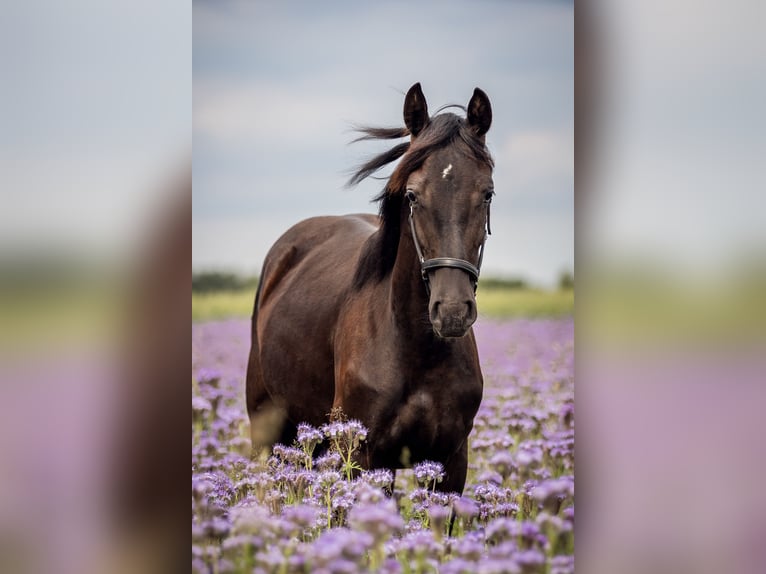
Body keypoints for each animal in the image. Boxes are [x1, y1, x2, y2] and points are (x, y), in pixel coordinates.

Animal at [246, 83, 494, 495]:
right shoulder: (360, 457)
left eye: (487, 193)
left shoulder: (450, 461)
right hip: (269, 432)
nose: (452, 311)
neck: (415, 349)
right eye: (412, 195)